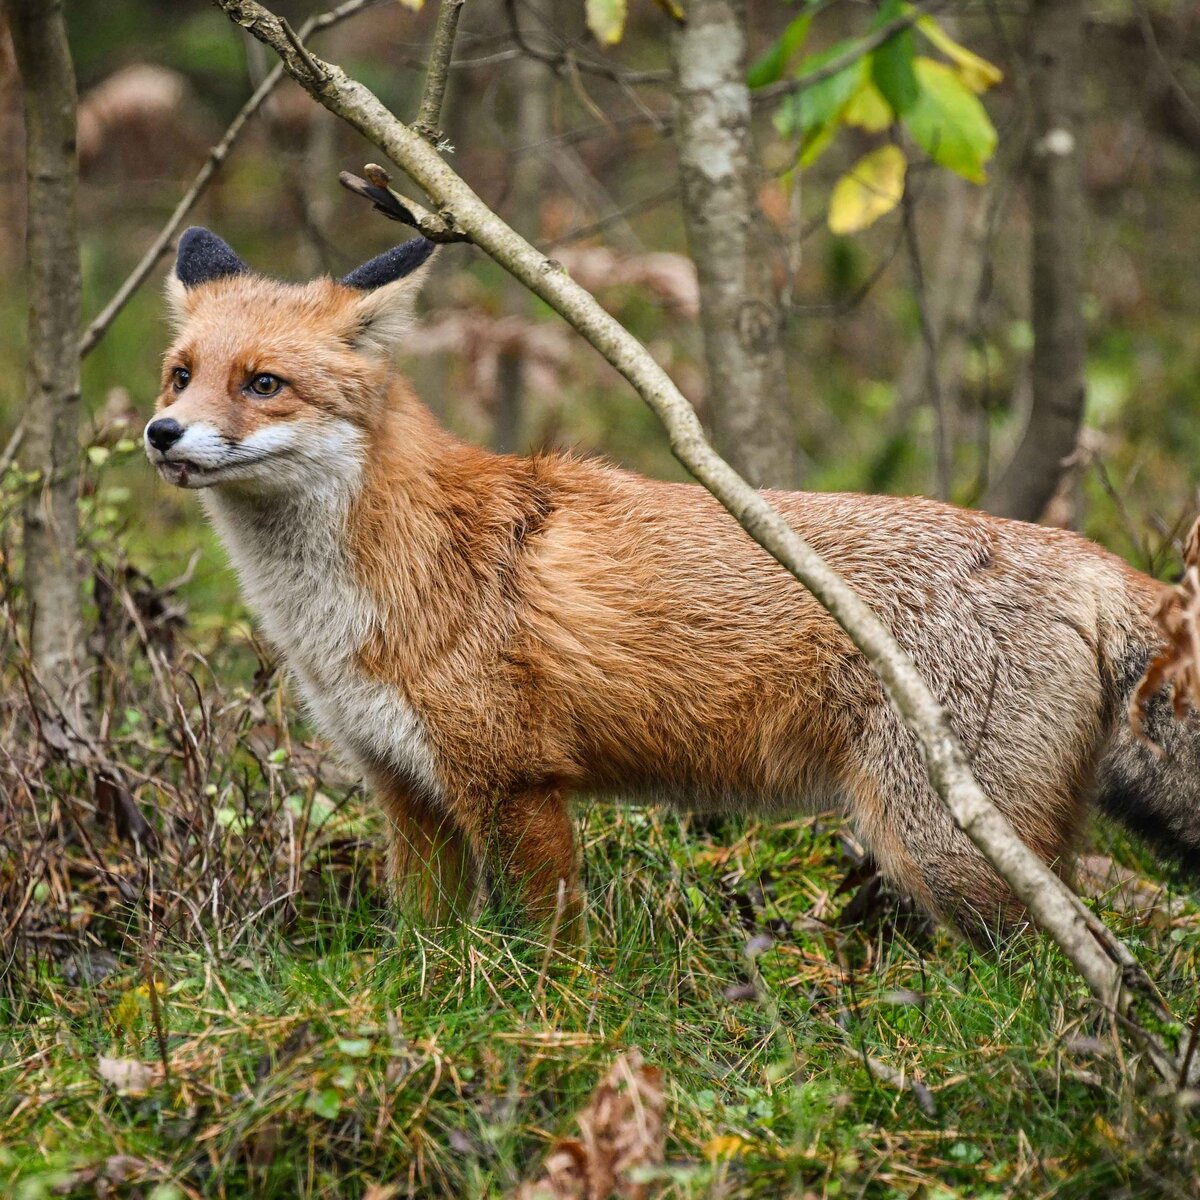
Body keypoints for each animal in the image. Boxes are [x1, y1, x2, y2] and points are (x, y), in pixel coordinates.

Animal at [142, 225, 1200, 931]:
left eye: (263, 384)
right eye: (180, 374)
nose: (160, 434)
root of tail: (1087, 558)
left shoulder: (514, 783)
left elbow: (547, 945)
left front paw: (548, 1028)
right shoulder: (407, 789)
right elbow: (427, 948)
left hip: (946, 847)